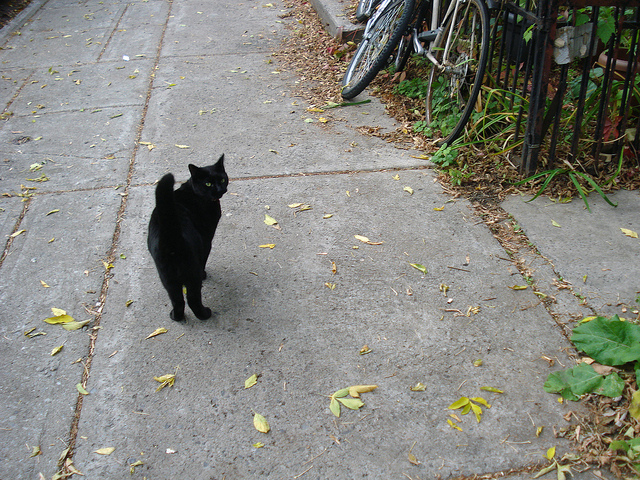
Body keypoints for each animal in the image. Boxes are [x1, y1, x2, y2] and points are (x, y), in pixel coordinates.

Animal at [147, 155, 228, 321]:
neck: (194, 192)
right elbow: (204, 260)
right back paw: (205, 314)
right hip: (191, 272)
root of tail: (170, 233)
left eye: (222, 180)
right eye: (208, 183)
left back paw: (175, 317)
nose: (220, 189)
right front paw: (204, 275)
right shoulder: (206, 240)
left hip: (166, 276)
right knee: (192, 299)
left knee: (177, 300)